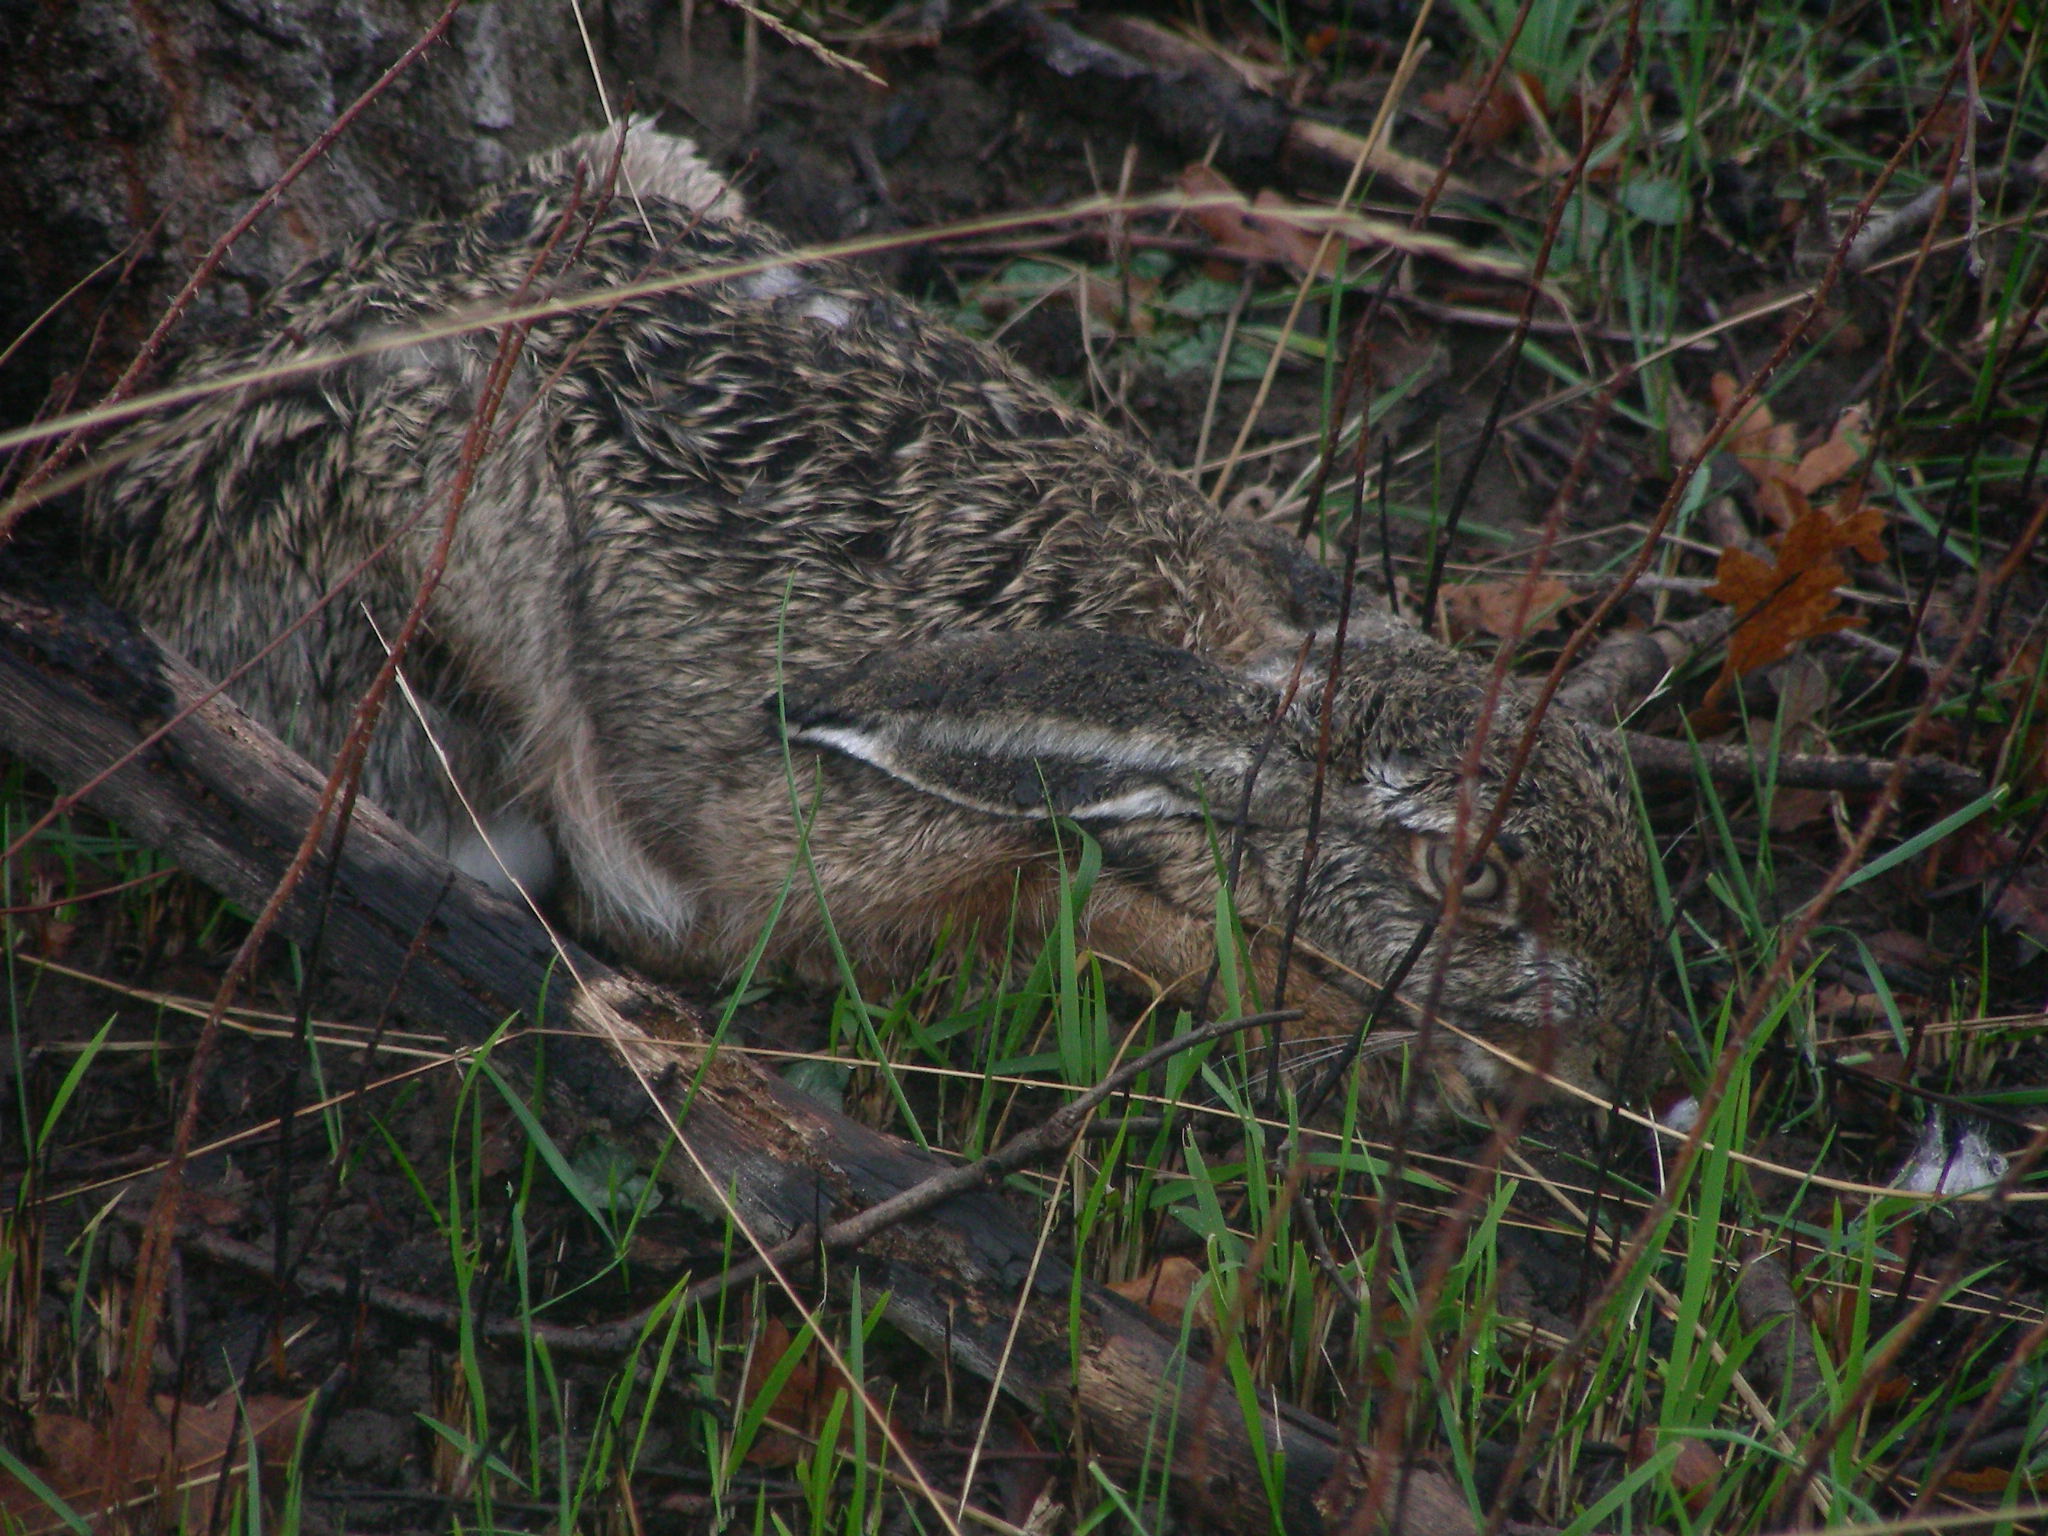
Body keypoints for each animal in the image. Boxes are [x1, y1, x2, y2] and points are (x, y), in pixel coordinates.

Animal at [80, 121, 1661, 1110]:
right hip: (463, 528)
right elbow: (1106, 925)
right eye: (1462, 875)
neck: (1192, 700)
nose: (1614, 1023)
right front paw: (1420, 1057)